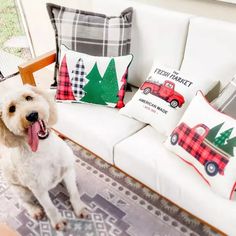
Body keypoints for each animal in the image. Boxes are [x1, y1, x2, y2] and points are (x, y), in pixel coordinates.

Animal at [0, 85, 88, 230]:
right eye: (11, 109)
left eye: (29, 97)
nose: (32, 115)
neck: (44, 150)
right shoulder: (38, 189)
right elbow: (49, 207)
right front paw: (57, 221)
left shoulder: (68, 170)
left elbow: (74, 193)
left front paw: (79, 208)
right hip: (21, 190)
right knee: (23, 201)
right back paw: (34, 210)